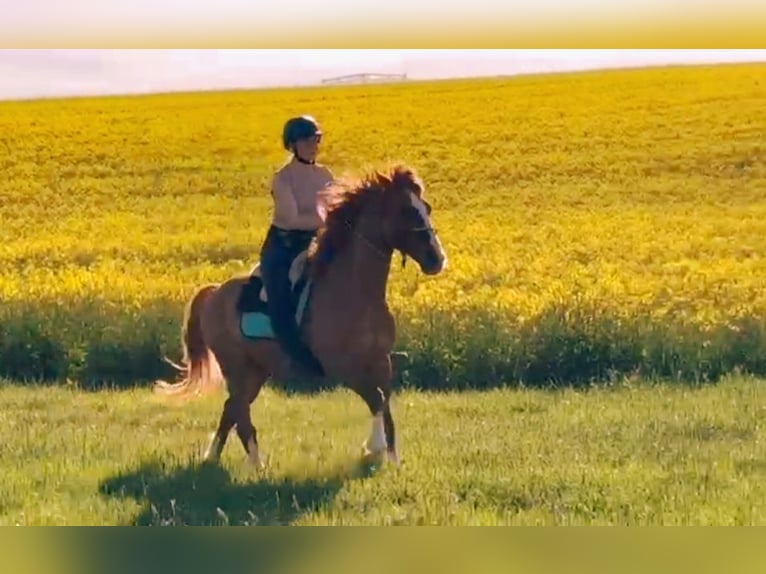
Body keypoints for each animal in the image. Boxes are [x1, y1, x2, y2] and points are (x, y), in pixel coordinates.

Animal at [154, 164, 447, 468]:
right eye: (405, 210)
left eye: (426, 207)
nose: (437, 260)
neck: (355, 291)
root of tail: (214, 293)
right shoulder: (343, 367)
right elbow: (376, 400)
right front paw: (373, 448)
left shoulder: (380, 361)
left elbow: (386, 405)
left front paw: (391, 458)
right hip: (235, 366)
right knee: (240, 412)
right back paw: (257, 466)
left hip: (256, 370)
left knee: (232, 408)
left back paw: (215, 457)